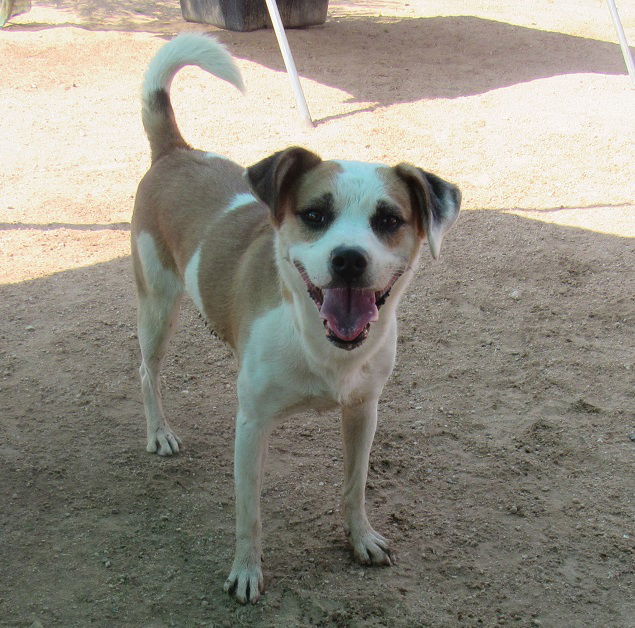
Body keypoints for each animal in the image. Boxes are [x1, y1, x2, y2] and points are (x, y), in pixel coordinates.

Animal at [133, 34, 462, 604]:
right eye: (314, 215)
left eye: (388, 220)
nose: (348, 259)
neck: (321, 343)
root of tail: (176, 150)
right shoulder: (252, 425)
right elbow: (249, 513)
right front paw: (246, 571)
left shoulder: (363, 411)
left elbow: (354, 486)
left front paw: (361, 539)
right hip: (157, 306)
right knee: (147, 371)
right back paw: (160, 433)